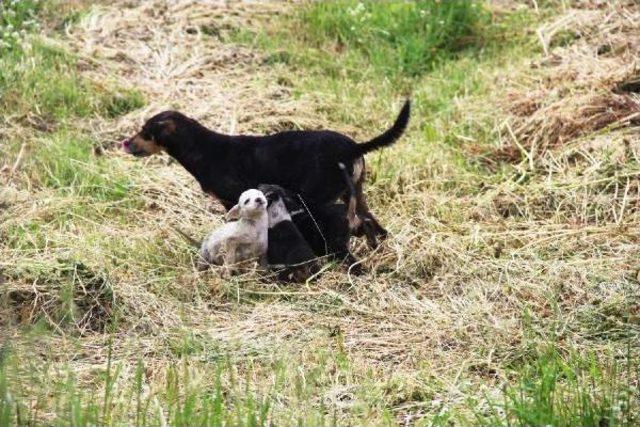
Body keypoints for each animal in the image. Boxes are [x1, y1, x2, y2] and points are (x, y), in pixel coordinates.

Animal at [120, 100, 410, 247]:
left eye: (146, 132)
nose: (124, 143)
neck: (203, 148)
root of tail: (354, 147)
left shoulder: (231, 200)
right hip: (355, 193)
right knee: (374, 225)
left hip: (319, 198)